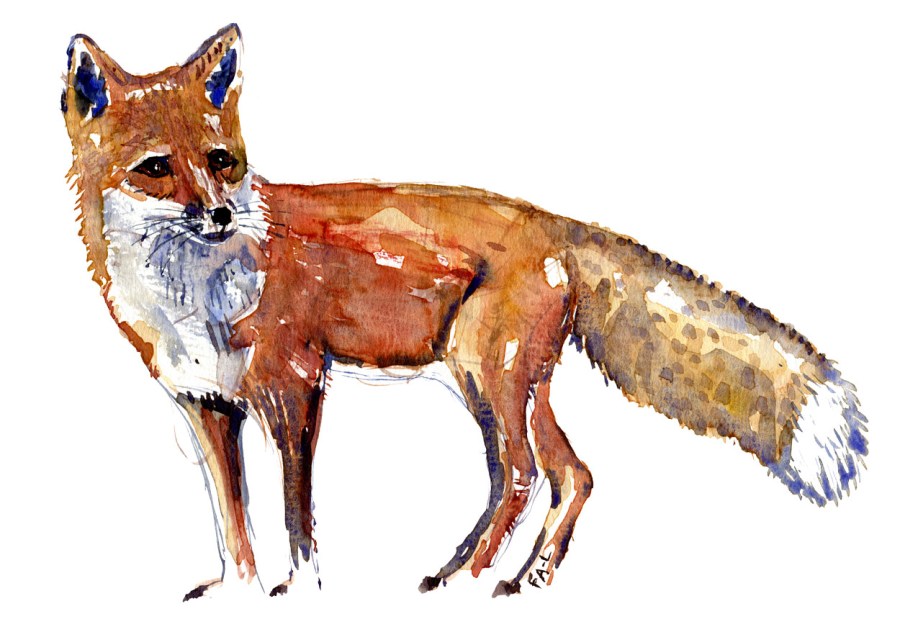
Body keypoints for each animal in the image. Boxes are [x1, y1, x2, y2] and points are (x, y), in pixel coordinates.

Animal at [62, 24, 868, 599]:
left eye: (221, 160)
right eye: (156, 169)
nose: (222, 214)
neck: (191, 296)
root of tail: (556, 223)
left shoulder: (295, 386)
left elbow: (297, 516)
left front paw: (299, 592)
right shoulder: (208, 405)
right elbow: (233, 521)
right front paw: (238, 593)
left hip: (488, 378)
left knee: (519, 475)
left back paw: (462, 579)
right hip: (514, 386)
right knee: (574, 473)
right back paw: (523, 581)